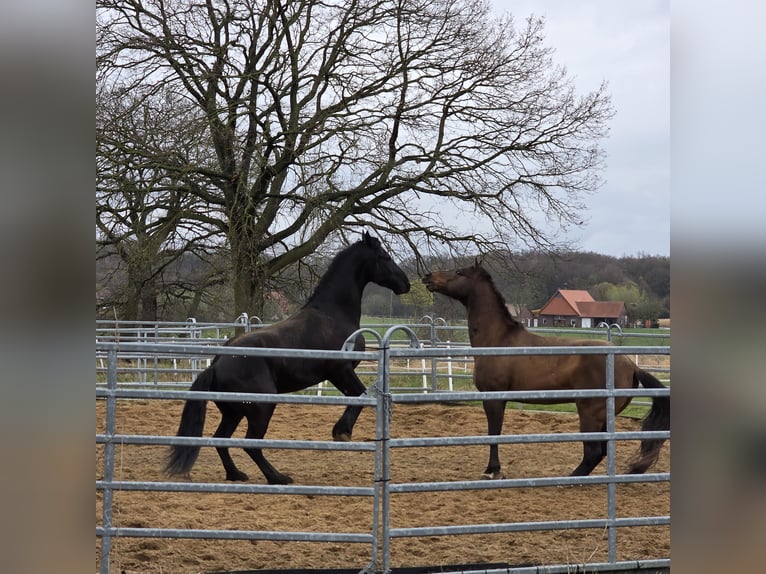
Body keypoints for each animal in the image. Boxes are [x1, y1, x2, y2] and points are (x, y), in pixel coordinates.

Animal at [165, 232, 410, 484]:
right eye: (385, 256)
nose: (406, 283)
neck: (333, 314)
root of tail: (216, 364)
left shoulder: (336, 375)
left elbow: (356, 397)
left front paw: (341, 430)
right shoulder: (340, 370)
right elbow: (360, 396)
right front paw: (342, 432)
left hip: (234, 413)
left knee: (221, 439)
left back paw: (236, 474)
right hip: (261, 408)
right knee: (251, 444)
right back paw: (278, 477)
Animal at [422, 261, 669, 479]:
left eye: (459, 272)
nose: (427, 276)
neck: (498, 340)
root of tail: (631, 364)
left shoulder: (493, 397)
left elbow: (494, 433)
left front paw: (493, 470)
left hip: (590, 413)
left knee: (593, 452)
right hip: (603, 417)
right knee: (601, 451)